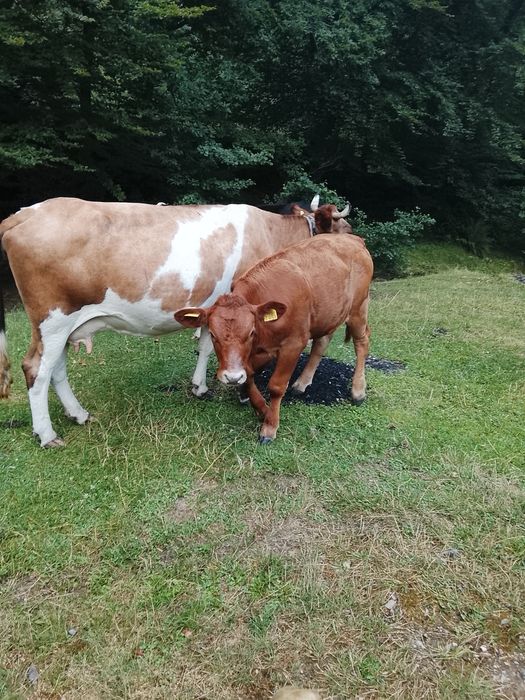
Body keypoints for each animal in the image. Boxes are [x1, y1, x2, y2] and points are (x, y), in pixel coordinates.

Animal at [0, 195, 352, 447]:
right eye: (344, 228)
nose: (355, 246)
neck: (270, 232)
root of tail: (22, 213)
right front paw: (233, 392)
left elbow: (207, 346)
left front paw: (201, 386)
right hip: (52, 319)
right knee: (36, 370)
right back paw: (47, 435)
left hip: (61, 326)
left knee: (56, 368)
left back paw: (78, 414)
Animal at [175, 233, 373, 443]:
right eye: (212, 334)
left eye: (251, 332)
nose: (231, 377)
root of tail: (351, 238)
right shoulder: (257, 352)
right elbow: (249, 376)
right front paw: (259, 406)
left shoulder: (293, 344)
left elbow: (276, 386)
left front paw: (270, 425)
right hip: (328, 314)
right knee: (322, 343)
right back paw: (302, 383)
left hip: (358, 309)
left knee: (362, 342)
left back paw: (358, 390)